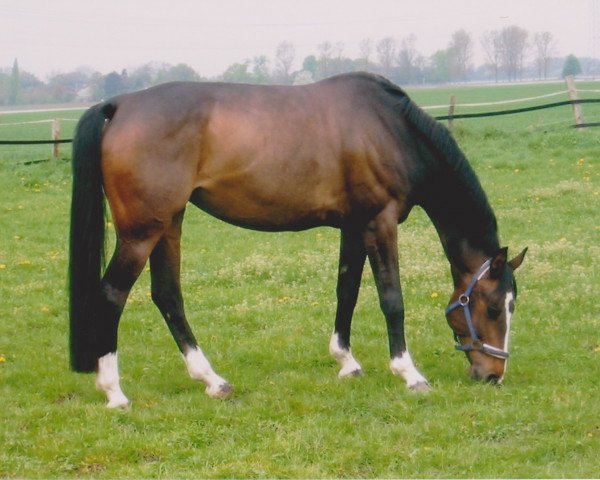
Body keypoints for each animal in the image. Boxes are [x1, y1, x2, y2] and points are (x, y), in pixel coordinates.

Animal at [70, 73, 528, 406]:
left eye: (511, 306)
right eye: (491, 307)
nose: (494, 375)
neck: (389, 129)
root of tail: (120, 105)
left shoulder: (353, 227)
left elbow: (347, 291)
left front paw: (346, 362)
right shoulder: (379, 222)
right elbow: (391, 299)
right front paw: (409, 373)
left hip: (170, 222)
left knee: (167, 295)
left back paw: (213, 381)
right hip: (142, 231)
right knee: (112, 295)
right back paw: (114, 393)